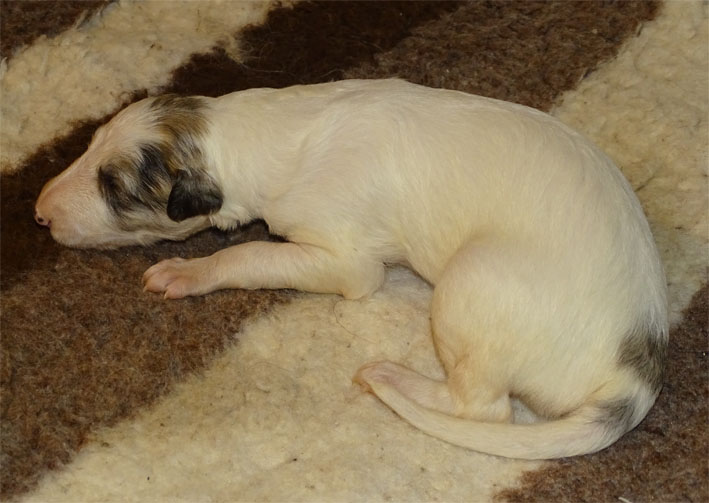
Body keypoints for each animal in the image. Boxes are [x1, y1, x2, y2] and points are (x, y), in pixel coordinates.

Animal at [35, 79, 668, 459]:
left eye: (114, 187)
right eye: (89, 146)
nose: (39, 213)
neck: (253, 133)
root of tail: (636, 376)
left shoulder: (344, 259)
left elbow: (247, 253)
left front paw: (186, 273)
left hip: (471, 284)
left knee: (484, 407)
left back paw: (393, 377)